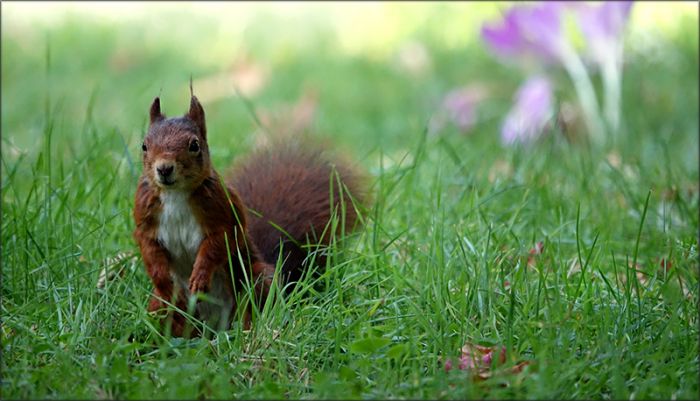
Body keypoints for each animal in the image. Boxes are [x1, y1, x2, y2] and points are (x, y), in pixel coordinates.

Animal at [133, 95, 364, 337]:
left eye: (194, 145)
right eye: (144, 146)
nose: (164, 169)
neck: (175, 194)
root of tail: (213, 326)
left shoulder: (222, 211)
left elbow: (218, 243)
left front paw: (200, 275)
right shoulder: (145, 217)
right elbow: (149, 248)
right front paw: (163, 282)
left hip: (256, 280)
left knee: (253, 307)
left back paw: (248, 332)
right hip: (161, 307)